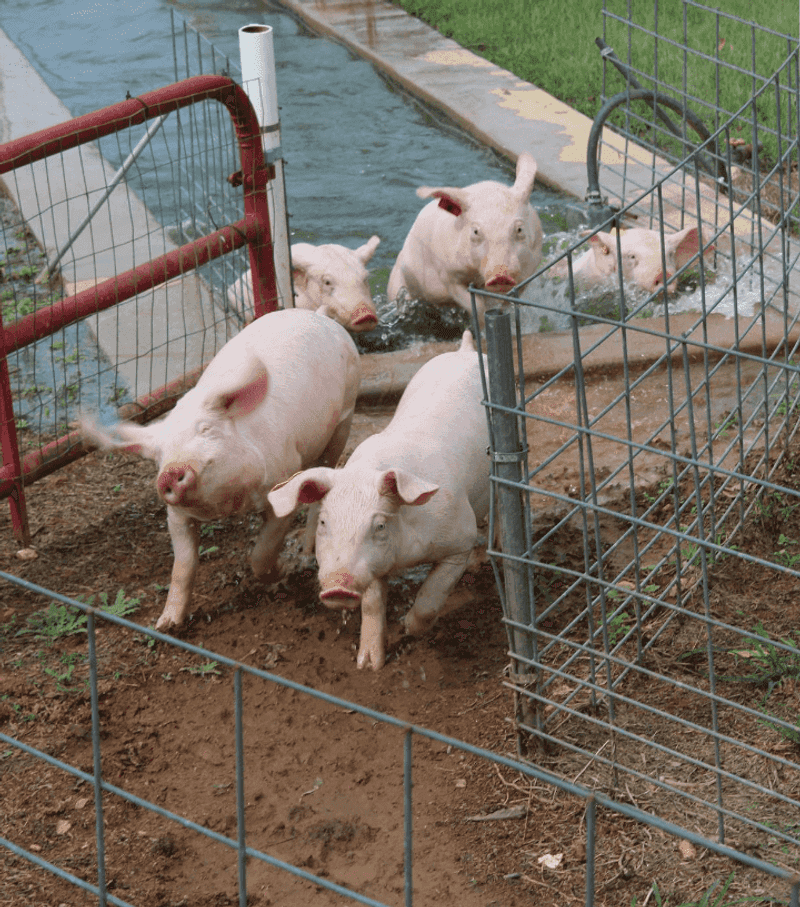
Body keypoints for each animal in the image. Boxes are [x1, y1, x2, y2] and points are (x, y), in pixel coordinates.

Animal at [81, 309, 361, 631]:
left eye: (205, 430)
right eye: (160, 455)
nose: (170, 472)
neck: (227, 506)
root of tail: (319, 315)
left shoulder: (282, 481)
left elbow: (261, 553)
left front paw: (282, 577)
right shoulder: (176, 516)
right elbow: (183, 566)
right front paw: (166, 625)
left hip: (344, 418)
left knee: (322, 481)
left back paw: (306, 552)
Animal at [268, 330, 490, 670]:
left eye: (380, 526)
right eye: (323, 522)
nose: (338, 584)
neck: (406, 555)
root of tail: (465, 350)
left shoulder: (460, 540)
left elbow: (432, 596)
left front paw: (408, 627)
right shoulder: (372, 566)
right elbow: (371, 605)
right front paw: (368, 664)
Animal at [387, 152, 543, 324]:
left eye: (519, 229)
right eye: (475, 231)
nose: (500, 275)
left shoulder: (530, 268)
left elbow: (511, 300)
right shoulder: (447, 274)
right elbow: (476, 305)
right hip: (397, 285)